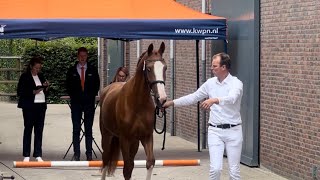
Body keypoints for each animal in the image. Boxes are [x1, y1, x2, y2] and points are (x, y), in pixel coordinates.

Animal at [99, 42, 168, 180]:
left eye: (165, 68)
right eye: (149, 69)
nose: (162, 99)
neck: (137, 103)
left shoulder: (147, 136)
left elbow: (150, 162)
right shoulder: (125, 139)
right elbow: (127, 168)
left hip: (134, 142)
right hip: (107, 135)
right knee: (105, 159)